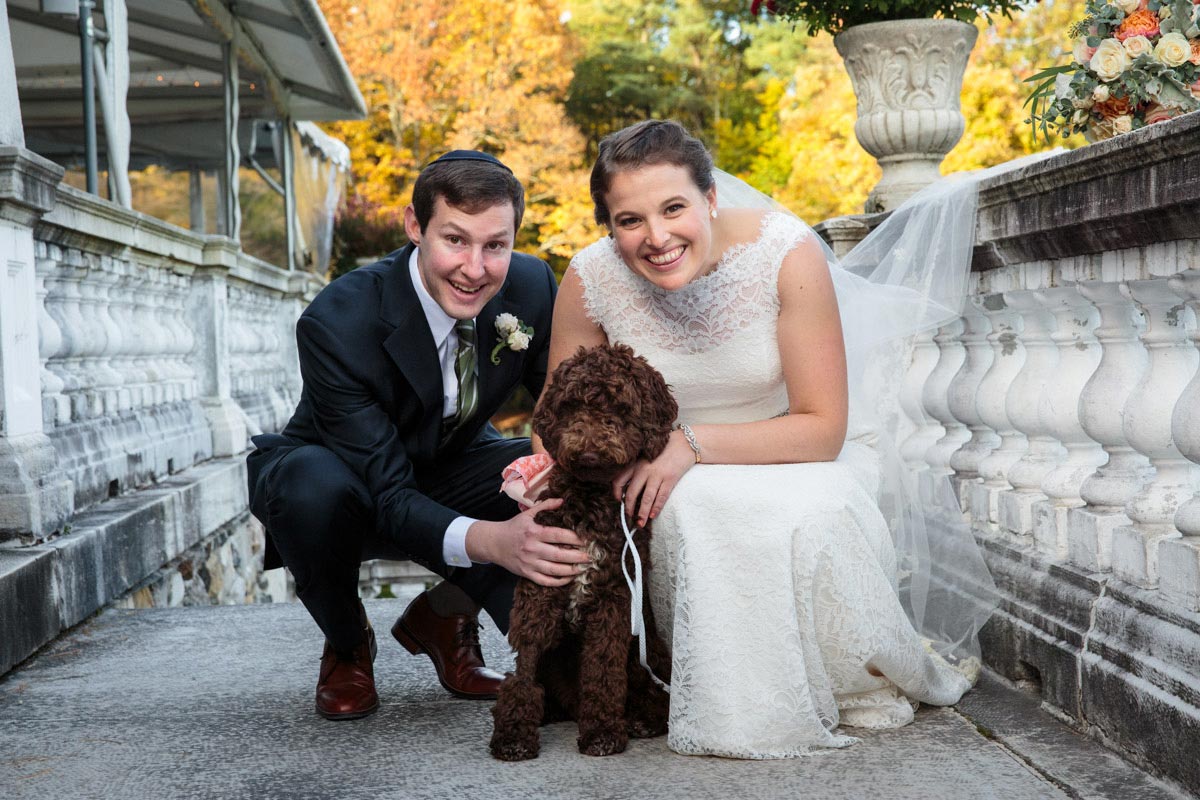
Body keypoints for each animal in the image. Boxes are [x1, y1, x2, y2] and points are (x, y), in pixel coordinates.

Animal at [487, 340, 676, 762]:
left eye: (619, 408)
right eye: (571, 405)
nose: (588, 448)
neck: (589, 500)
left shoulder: (613, 599)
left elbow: (603, 671)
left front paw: (603, 730)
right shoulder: (539, 591)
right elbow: (523, 672)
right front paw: (513, 734)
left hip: (645, 647)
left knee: (653, 692)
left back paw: (643, 719)